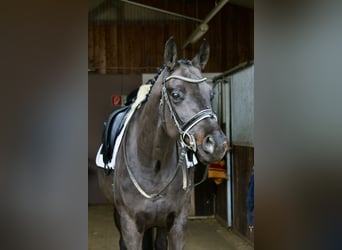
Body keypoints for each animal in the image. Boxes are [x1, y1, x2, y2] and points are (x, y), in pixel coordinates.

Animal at [97, 37, 228, 250]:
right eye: (175, 94)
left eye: (211, 94)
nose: (216, 144)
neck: (152, 163)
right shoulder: (130, 225)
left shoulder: (177, 223)